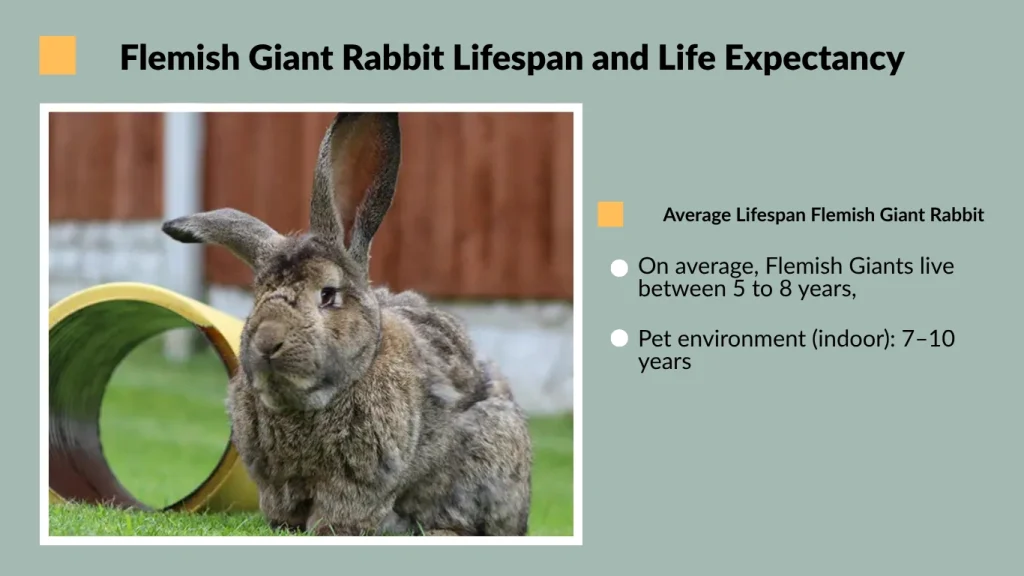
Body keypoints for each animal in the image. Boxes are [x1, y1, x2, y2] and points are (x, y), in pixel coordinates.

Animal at [160, 112, 533, 536]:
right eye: (258, 296)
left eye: (327, 295)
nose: (268, 341)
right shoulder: (277, 482)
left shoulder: (359, 482)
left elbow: (342, 513)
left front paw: (327, 529)